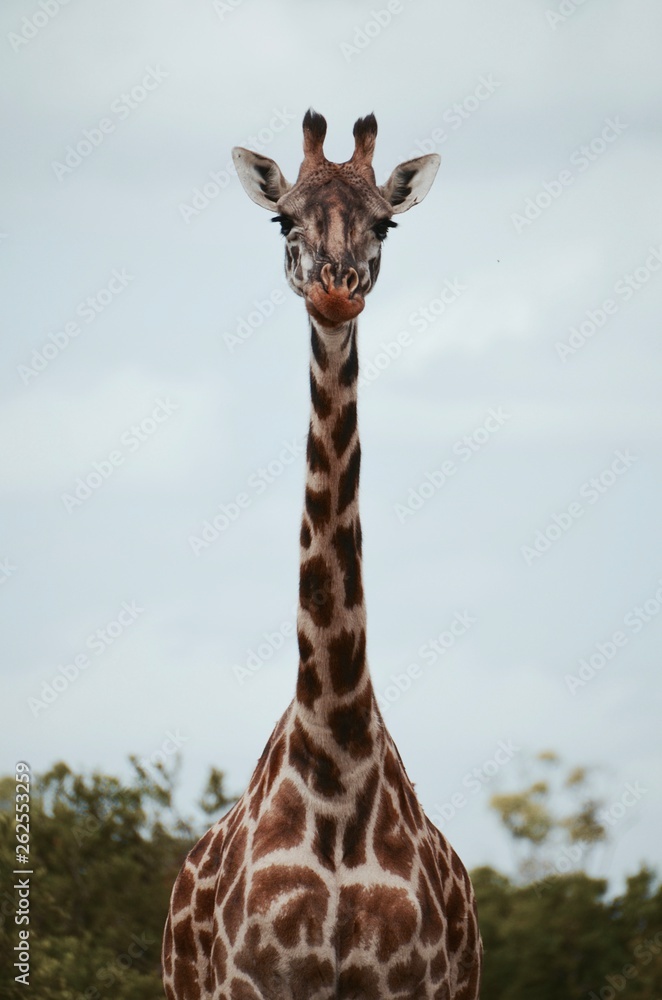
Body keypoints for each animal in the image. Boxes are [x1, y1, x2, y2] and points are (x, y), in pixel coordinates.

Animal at [163, 110, 482, 1000]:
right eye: (284, 220)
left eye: (385, 223)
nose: (335, 289)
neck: (337, 755)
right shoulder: (249, 980)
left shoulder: (410, 983)